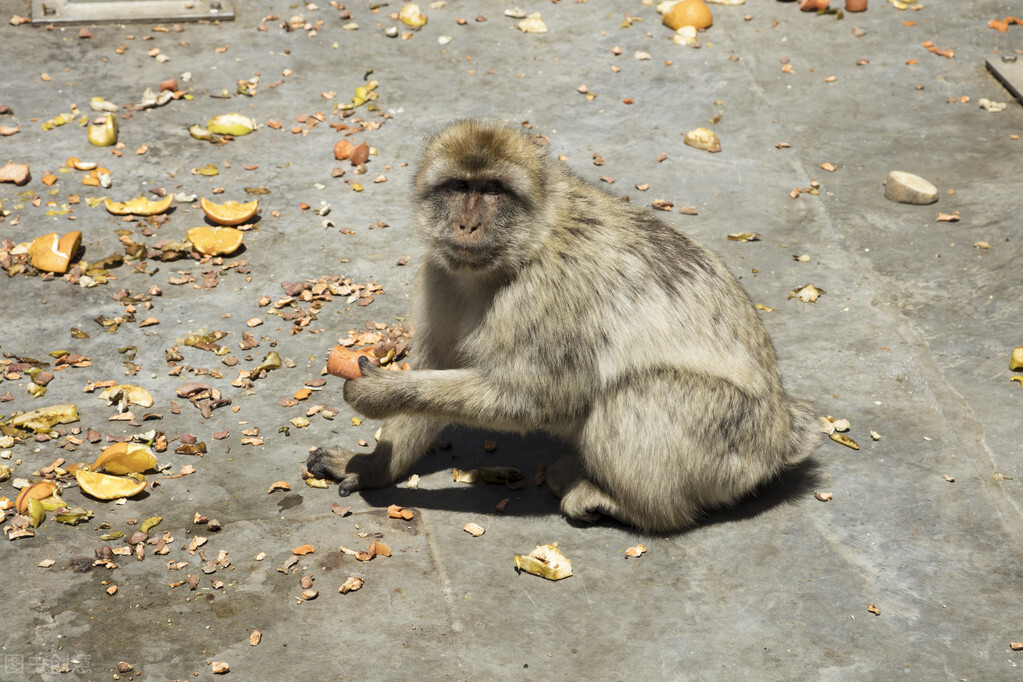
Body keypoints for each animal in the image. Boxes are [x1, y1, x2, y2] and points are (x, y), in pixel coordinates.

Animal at [304, 118, 822, 531]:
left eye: (492, 190)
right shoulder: (441, 276)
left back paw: (632, 507)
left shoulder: (548, 294)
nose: (467, 226)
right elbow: (436, 369)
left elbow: (537, 398)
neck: (521, 249)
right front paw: (374, 465)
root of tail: (782, 432)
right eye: (458, 188)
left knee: (640, 391)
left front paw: (384, 391)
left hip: (735, 443)